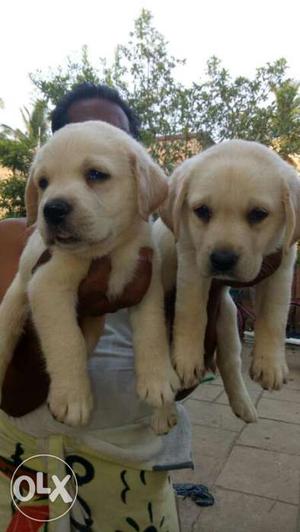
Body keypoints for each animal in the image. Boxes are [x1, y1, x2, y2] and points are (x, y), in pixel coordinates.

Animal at [0, 121, 179, 432]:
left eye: (96, 174)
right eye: (43, 183)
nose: (52, 209)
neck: (112, 249)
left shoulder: (148, 284)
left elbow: (152, 331)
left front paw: (157, 380)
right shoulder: (47, 285)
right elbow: (66, 340)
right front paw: (72, 398)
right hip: (12, 308)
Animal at [155, 139, 300, 422]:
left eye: (258, 214)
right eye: (202, 211)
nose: (222, 259)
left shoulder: (283, 262)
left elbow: (274, 315)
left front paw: (271, 364)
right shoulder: (191, 256)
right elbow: (192, 312)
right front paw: (187, 358)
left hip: (229, 318)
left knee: (230, 362)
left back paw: (244, 406)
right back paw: (163, 414)